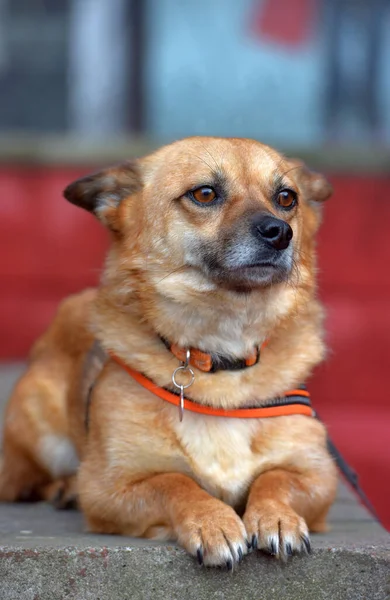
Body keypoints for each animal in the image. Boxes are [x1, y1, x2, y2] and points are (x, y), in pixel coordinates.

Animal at [0, 138, 336, 568]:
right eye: (205, 193)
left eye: (286, 198)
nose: (280, 232)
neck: (220, 356)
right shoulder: (110, 488)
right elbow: (174, 481)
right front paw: (213, 522)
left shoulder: (319, 476)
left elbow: (275, 477)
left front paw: (276, 516)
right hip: (41, 436)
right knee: (30, 484)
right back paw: (65, 488)